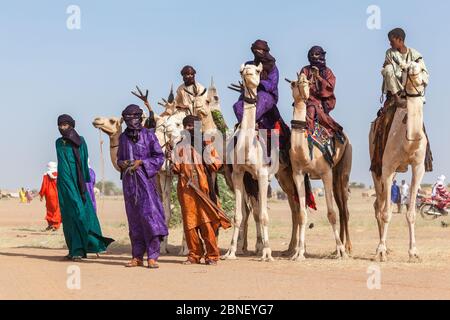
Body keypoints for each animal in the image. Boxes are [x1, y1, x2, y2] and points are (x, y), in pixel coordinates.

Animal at [286, 72, 354, 260]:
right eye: (293, 83)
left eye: (308, 82)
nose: (303, 87)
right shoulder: (298, 174)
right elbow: (302, 214)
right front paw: (299, 253)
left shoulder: (325, 173)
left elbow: (331, 214)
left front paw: (341, 251)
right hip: (335, 177)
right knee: (341, 208)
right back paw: (338, 248)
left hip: (343, 171)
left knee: (344, 210)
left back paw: (347, 248)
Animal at [370, 61, 428, 262]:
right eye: (404, 69)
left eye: (422, 67)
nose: (412, 69)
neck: (408, 141)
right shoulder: (387, 167)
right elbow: (387, 212)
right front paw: (380, 251)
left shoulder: (418, 167)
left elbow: (411, 213)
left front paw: (414, 252)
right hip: (377, 167)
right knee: (379, 206)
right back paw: (381, 248)